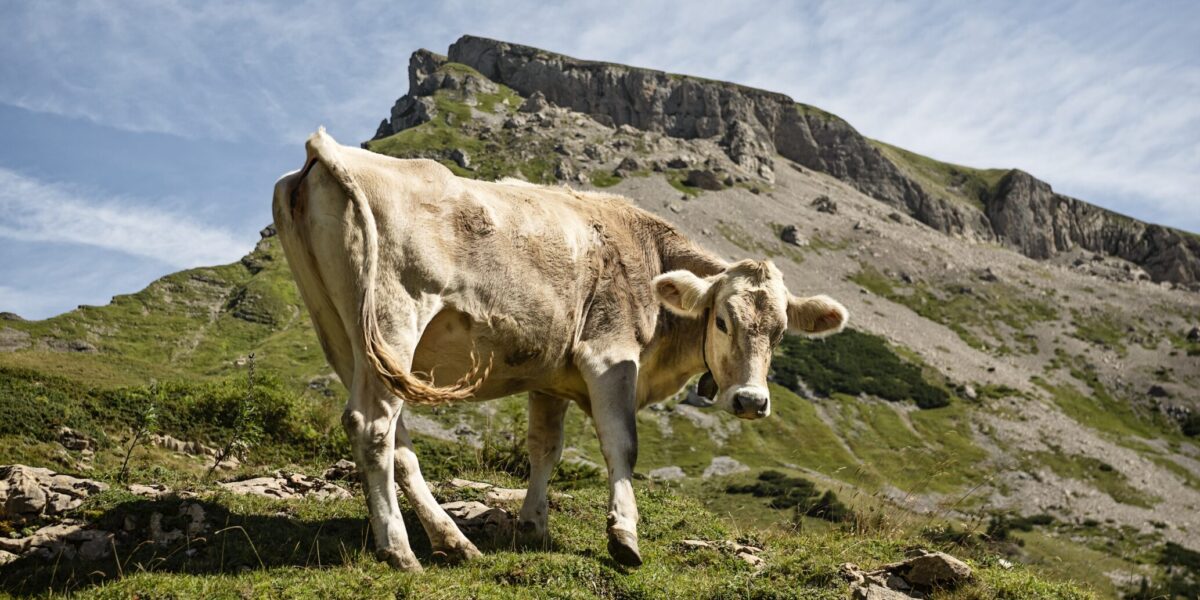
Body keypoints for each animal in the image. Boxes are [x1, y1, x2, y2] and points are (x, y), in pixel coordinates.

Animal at [274, 130, 854, 571]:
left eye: (780, 332)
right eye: (722, 320)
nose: (751, 402)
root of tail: (329, 152)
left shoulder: (549, 377)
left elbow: (544, 448)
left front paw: (532, 524)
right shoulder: (610, 355)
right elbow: (622, 446)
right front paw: (624, 536)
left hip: (346, 336)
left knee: (396, 439)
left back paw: (452, 542)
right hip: (395, 317)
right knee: (373, 425)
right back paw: (399, 551)